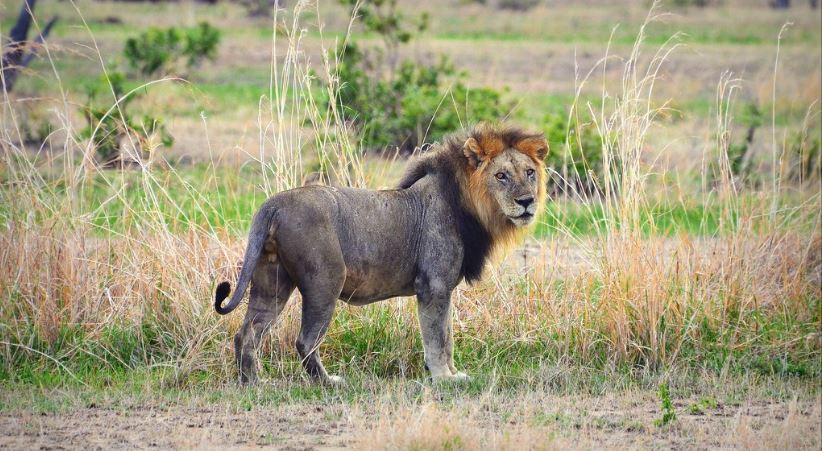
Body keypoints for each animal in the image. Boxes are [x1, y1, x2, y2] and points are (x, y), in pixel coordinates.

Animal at [214, 124, 548, 385]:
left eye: (529, 172)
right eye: (501, 175)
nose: (526, 201)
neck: (470, 205)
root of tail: (273, 204)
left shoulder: (442, 290)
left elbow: (448, 336)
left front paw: (454, 374)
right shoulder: (434, 286)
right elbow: (437, 337)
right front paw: (443, 378)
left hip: (272, 281)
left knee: (247, 333)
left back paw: (253, 383)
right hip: (325, 281)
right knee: (305, 340)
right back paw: (329, 382)